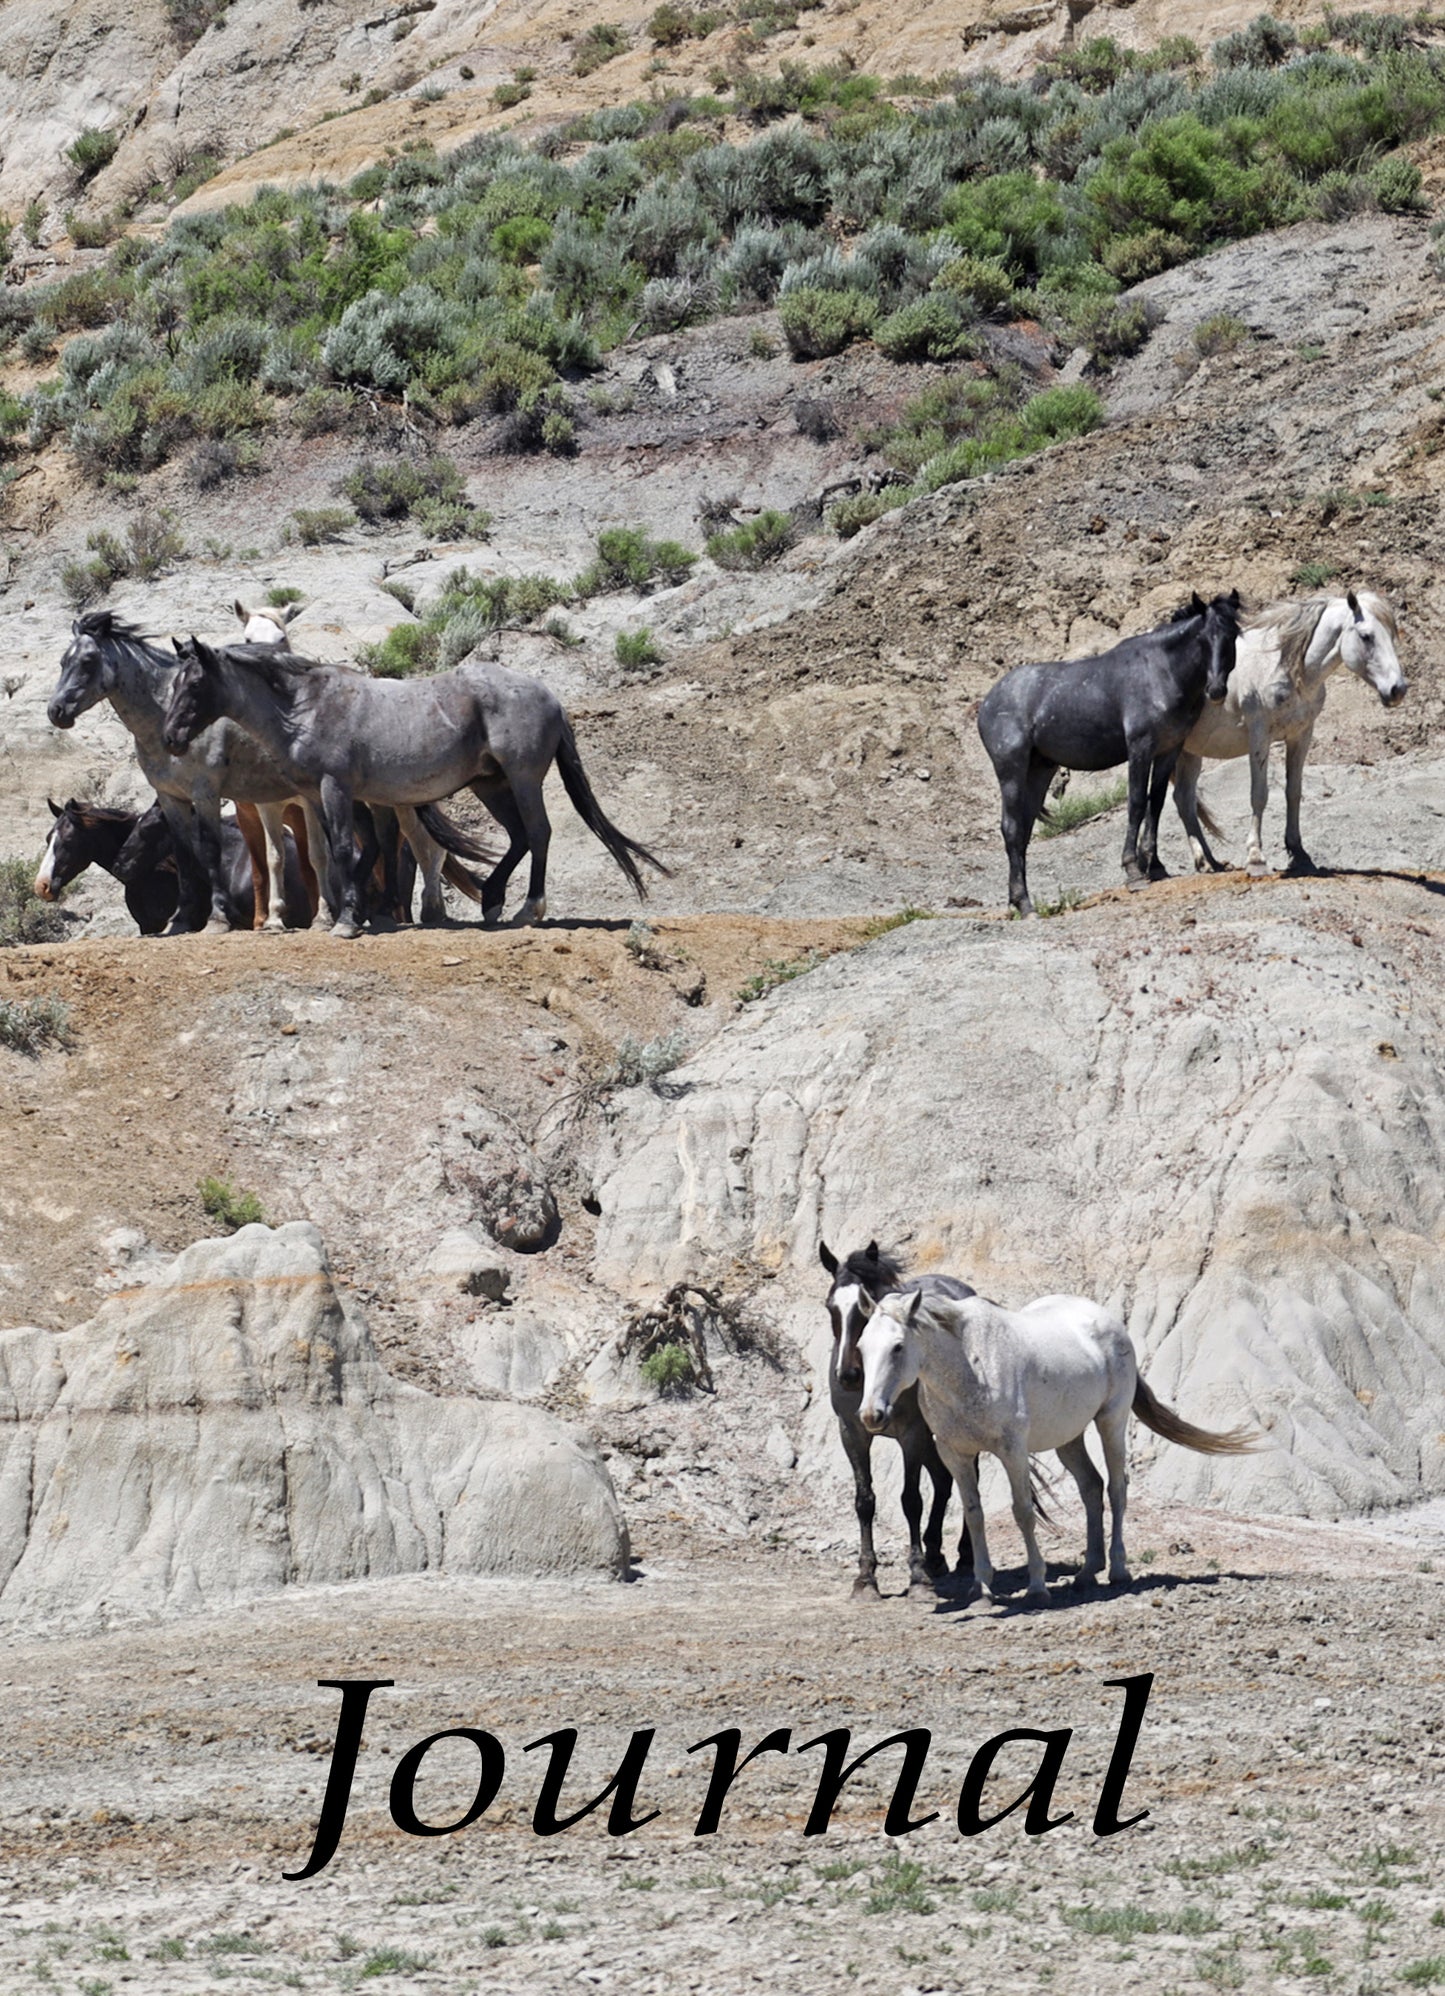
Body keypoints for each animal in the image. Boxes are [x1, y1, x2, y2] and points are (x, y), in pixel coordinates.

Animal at [159, 636, 671, 939]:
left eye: (194, 684)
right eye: (172, 683)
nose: (170, 739)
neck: (305, 706)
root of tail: (550, 696)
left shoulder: (335, 788)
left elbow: (343, 849)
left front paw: (347, 920)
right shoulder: (344, 797)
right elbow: (366, 850)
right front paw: (366, 911)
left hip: (522, 778)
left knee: (539, 833)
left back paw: (528, 910)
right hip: (491, 784)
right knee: (519, 837)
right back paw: (492, 900)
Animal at [820, 1241, 976, 1598]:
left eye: (865, 1308)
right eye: (831, 1307)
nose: (848, 1375)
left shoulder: (911, 1434)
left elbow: (911, 1500)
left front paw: (918, 1576)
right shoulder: (852, 1433)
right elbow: (864, 1501)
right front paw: (866, 1579)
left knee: (965, 1476)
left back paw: (963, 1555)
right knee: (944, 1479)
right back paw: (936, 1556)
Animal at [858, 1289, 1260, 1604]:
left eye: (897, 1347)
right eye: (861, 1347)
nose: (871, 1415)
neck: (970, 1366)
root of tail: (1109, 1321)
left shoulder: (1012, 1451)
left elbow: (1023, 1512)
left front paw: (1037, 1587)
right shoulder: (955, 1455)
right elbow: (974, 1515)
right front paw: (981, 1589)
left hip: (1111, 1423)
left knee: (1116, 1488)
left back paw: (1117, 1570)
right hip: (1069, 1439)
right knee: (1091, 1487)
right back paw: (1086, 1572)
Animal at [976, 592, 1240, 915]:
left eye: (1232, 635)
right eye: (1203, 638)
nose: (1216, 690)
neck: (1161, 671)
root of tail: (988, 702)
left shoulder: (1168, 750)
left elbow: (1156, 803)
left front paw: (1155, 866)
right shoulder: (1140, 748)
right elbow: (1137, 803)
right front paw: (1133, 871)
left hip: (1039, 770)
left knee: (1024, 829)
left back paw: (1017, 901)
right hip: (1011, 771)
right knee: (1011, 828)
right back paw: (1025, 905)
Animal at [1171, 590, 1407, 876]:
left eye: (1391, 635)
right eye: (1366, 636)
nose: (1397, 690)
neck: (1285, 667)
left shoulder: (1301, 735)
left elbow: (1293, 791)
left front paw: (1298, 852)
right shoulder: (1260, 736)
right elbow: (1259, 795)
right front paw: (1256, 857)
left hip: (1189, 753)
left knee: (1183, 799)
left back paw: (1208, 861)